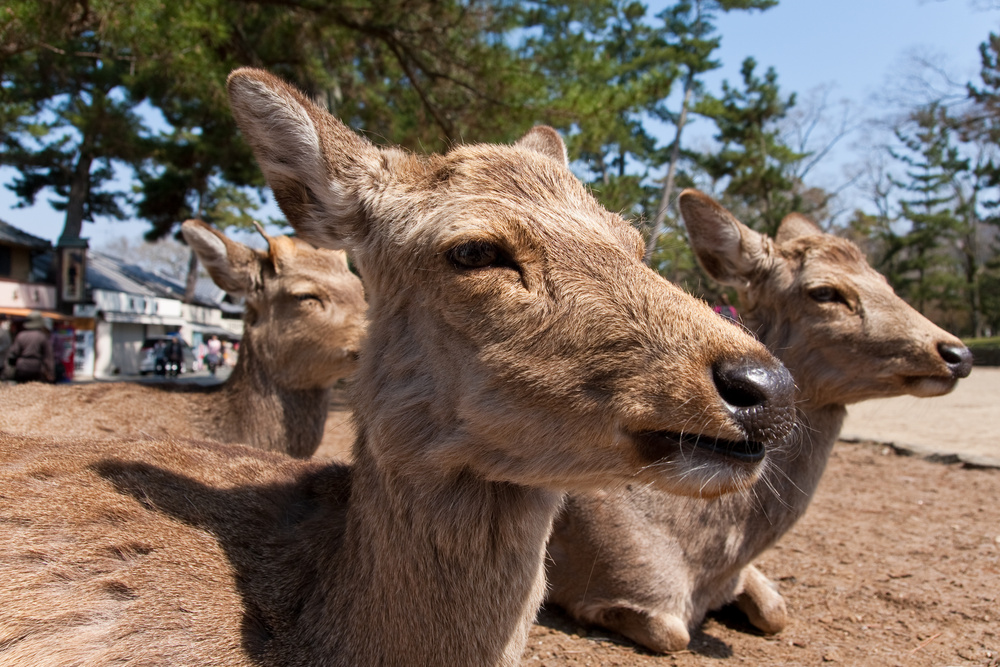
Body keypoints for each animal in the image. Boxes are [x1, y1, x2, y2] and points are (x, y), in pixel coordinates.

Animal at [545, 189, 974, 653]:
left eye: (885, 281)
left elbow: (776, 612)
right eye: (825, 292)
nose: (957, 353)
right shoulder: (608, 588)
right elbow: (672, 634)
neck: (706, 564)